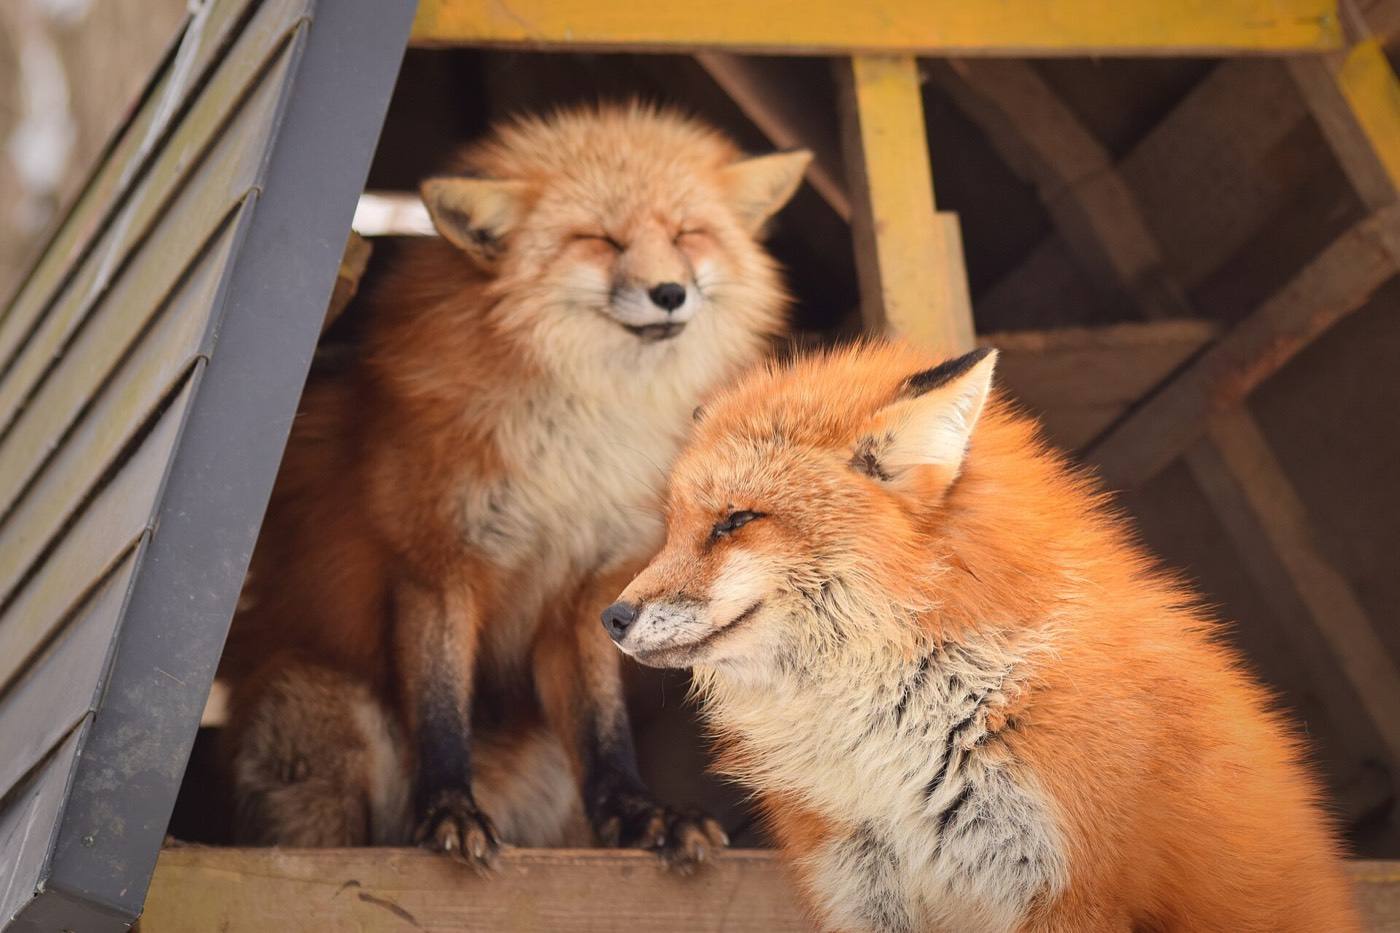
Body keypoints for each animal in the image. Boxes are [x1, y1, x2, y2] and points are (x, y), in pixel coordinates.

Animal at [217, 103, 811, 869]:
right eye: (599, 240)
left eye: (687, 233)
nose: (670, 293)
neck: (579, 446)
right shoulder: (434, 563)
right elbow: (442, 715)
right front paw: (449, 811)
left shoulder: (591, 589)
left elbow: (604, 734)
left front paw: (641, 815)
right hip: (319, 711)